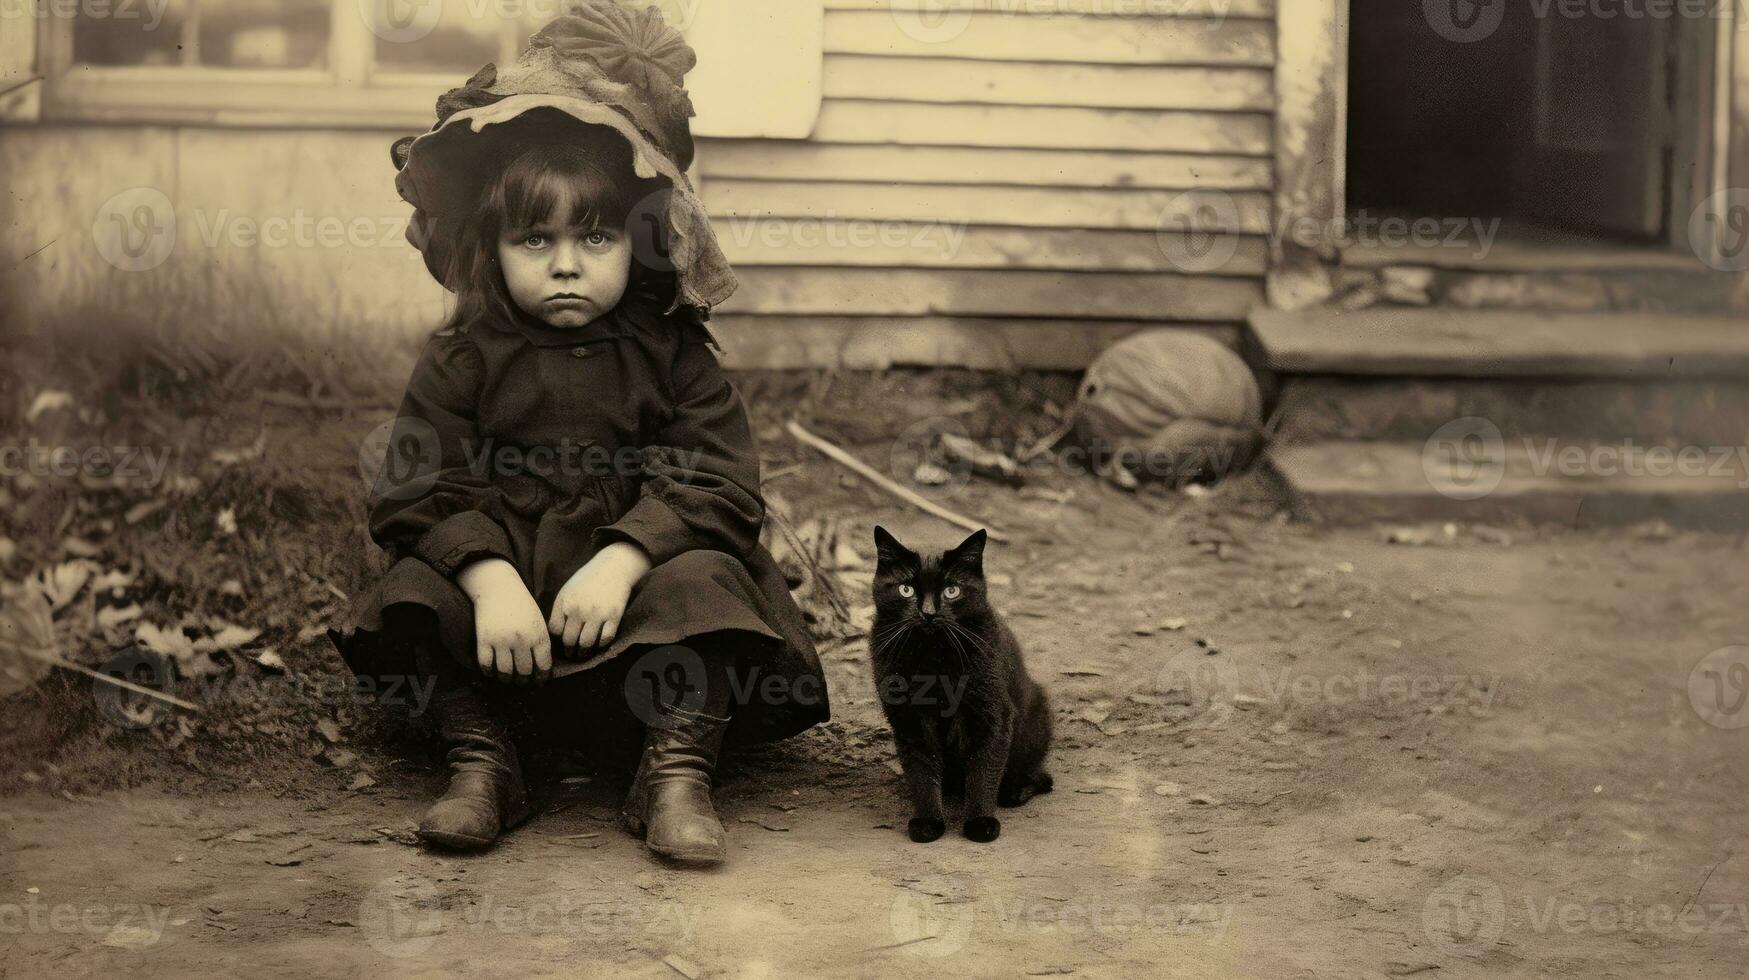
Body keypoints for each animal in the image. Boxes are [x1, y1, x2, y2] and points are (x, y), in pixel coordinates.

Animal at [871, 528, 1049, 843]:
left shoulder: (992, 715)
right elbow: (922, 772)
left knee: (1038, 776)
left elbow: (983, 770)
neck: (933, 659)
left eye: (951, 591)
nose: (928, 613)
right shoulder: (910, 721)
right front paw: (928, 821)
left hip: (1034, 725)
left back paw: (1015, 791)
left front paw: (980, 822)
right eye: (906, 590)